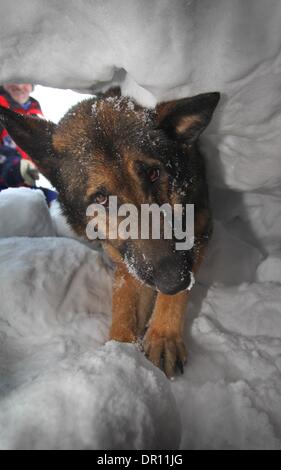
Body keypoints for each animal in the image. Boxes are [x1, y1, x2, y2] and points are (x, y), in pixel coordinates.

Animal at [0, 89, 219, 378]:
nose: (176, 280)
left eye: (154, 173)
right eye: (101, 198)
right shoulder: (124, 258)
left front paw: (163, 336)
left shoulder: (199, 227)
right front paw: (121, 348)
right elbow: (124, 298)